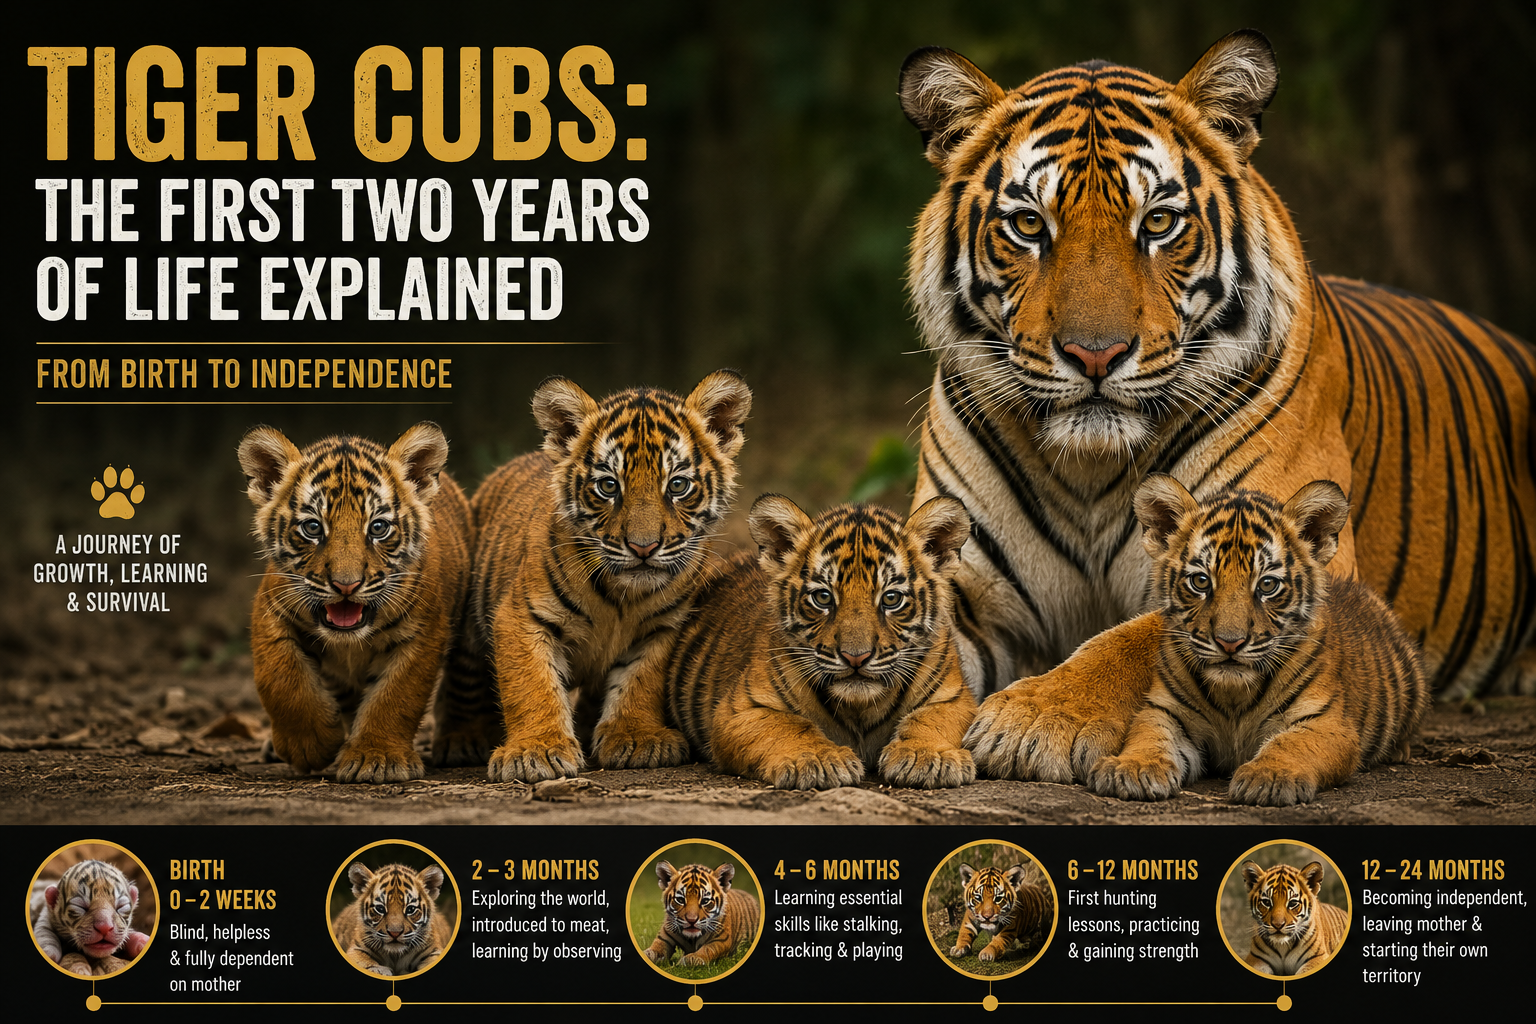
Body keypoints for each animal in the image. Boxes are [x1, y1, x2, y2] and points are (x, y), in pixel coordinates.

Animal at [237, 421, 472, 783]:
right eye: (312, 527)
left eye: (378, 527)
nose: (346, 585)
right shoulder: (271, 609)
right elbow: (280, 677)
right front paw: (309, 745)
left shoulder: (423, 633)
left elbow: (397, 696)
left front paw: (377, 759)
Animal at [434, 371, 752, 782]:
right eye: (608, 486)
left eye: (678, 485)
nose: (644, 547)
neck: (622, 599)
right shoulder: (522, 617)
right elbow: (532, 685)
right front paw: (537, 750)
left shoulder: (665, 627)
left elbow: (641, 680)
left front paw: (636, 737)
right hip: (470, 626)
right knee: (463, 677)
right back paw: (462, 739)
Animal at [665, 496, 977, 789]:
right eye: (823, 597)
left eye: (891, 598)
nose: (855, 657)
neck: (859, 710)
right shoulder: (741, 709)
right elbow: (789, 726)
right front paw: (817, 760)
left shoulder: (954, 698)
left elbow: (931, 720)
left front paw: (929, 756)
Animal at [1086, 476, 1429, 805]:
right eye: (1201, 581)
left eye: (1267, 585)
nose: (1230, 643)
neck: (1232, 697)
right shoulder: (1165, 712)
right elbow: (1148, 737)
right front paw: (1133, 768)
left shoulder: (1325, 722)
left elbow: (1292, 744)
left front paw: (1270, 776)